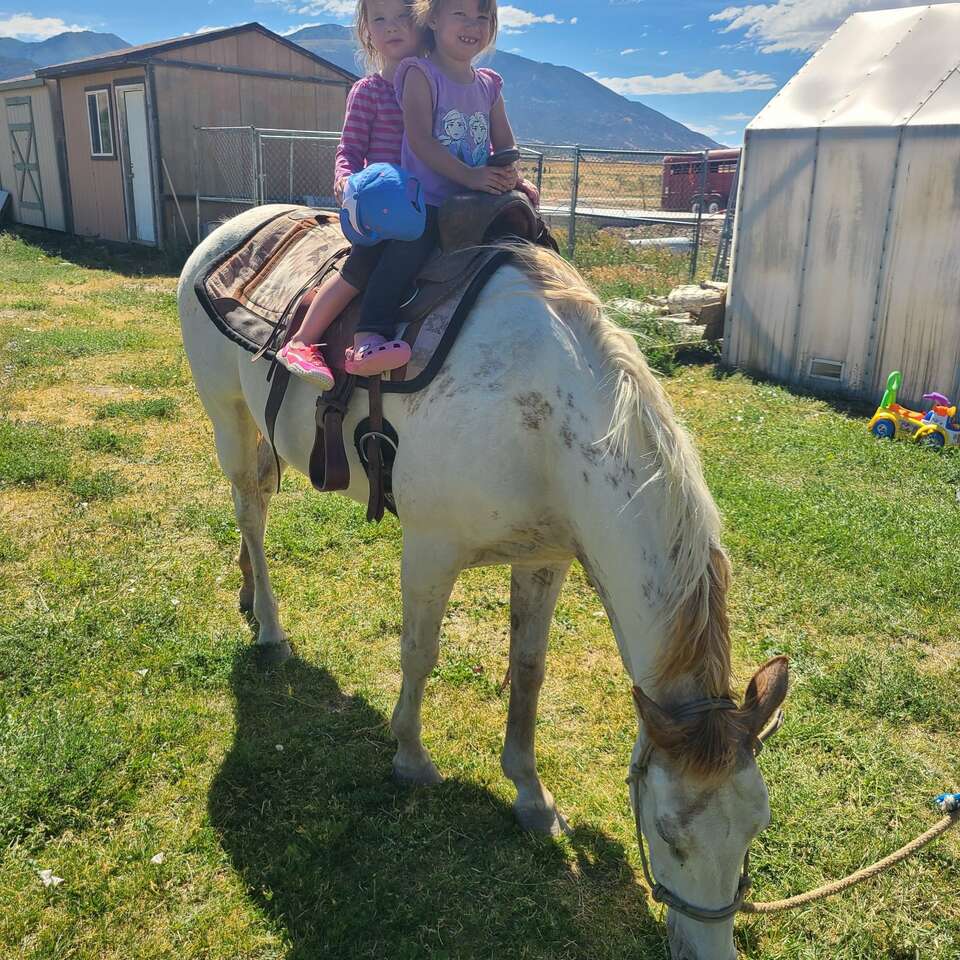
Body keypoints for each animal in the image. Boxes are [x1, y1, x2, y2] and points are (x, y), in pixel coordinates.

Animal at [178, 204, 789, 960]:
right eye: (666, 832)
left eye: (756, 827)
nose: (711, 951)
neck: (541, 427)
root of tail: (233, 229)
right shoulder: (429, 550)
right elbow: (419, 655)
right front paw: (411, 758)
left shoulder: (544, 560)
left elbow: (528, 672)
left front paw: (530, 795)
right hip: (227, 415)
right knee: (250, 511)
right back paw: (269, 627)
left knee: (257, 501)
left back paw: (245, 594)